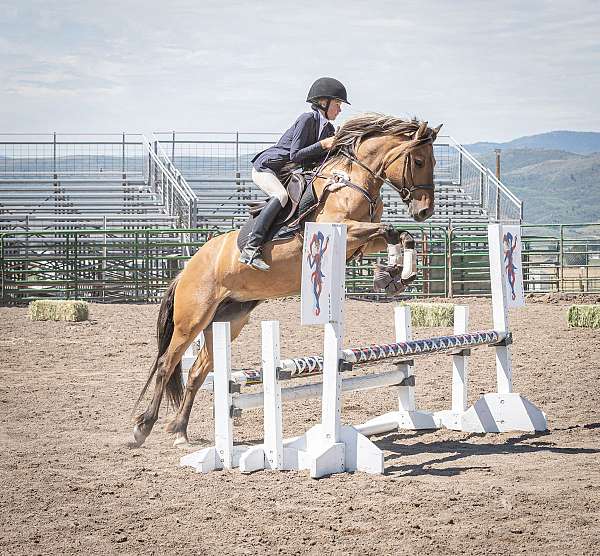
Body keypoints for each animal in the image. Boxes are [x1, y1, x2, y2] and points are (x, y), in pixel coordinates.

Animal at [132, 113, 440, 448]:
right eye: (419, 161)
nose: (424, 211)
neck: (352, 179)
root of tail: (186, 270)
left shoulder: (362, 242)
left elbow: (400, 235)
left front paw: (396, 276)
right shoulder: (343, 229)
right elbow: (390, 230)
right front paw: (391, 274)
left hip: (227, 320)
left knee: (198, 371)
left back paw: (180, 431)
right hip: (193, 318)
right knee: (167, 364)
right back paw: (142, 428)